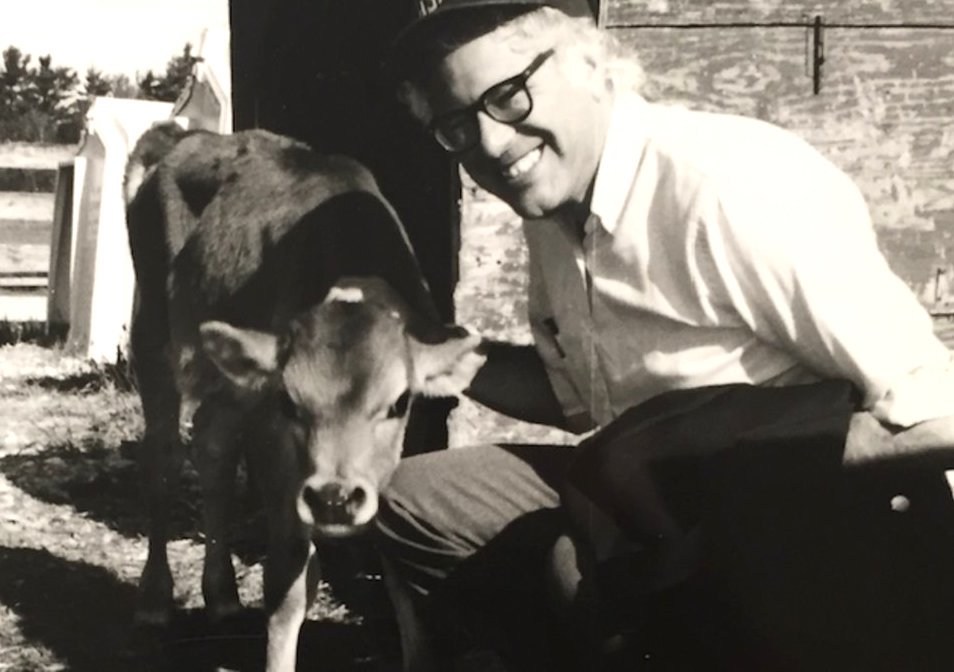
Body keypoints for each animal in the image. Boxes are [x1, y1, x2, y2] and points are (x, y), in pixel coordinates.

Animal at [124, 123, 484, 668]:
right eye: (290, 403)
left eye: (398, 403)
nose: (334, 496)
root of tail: (187, 137)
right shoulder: (275, 446)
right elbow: (289, 583)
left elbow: (397, 568)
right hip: (153, 335)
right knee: (163, 459)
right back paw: (153, 598)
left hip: (231, 380)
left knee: (214, 448)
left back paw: (222, 594)